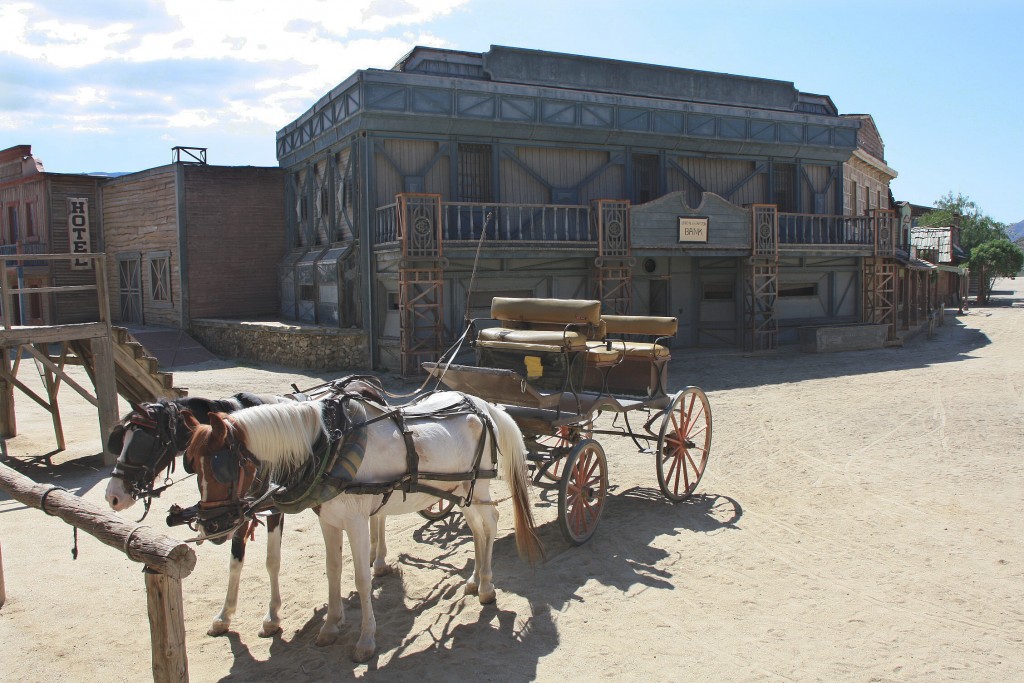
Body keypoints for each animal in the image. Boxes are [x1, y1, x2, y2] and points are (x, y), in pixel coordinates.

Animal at [182, 393, 544, 663]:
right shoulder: (328, 520)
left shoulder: (356, 522)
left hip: (475, 487)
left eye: (221, 465)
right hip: (458, 492)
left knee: (490, 524)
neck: (329, 448)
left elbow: (361, 578)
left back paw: (487, 586)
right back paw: (473, 581)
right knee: (478, 531)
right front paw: (330, 627)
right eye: (192, 464)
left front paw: (366, 640)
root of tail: (484, 405)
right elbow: (333, 571)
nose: (211, 525)